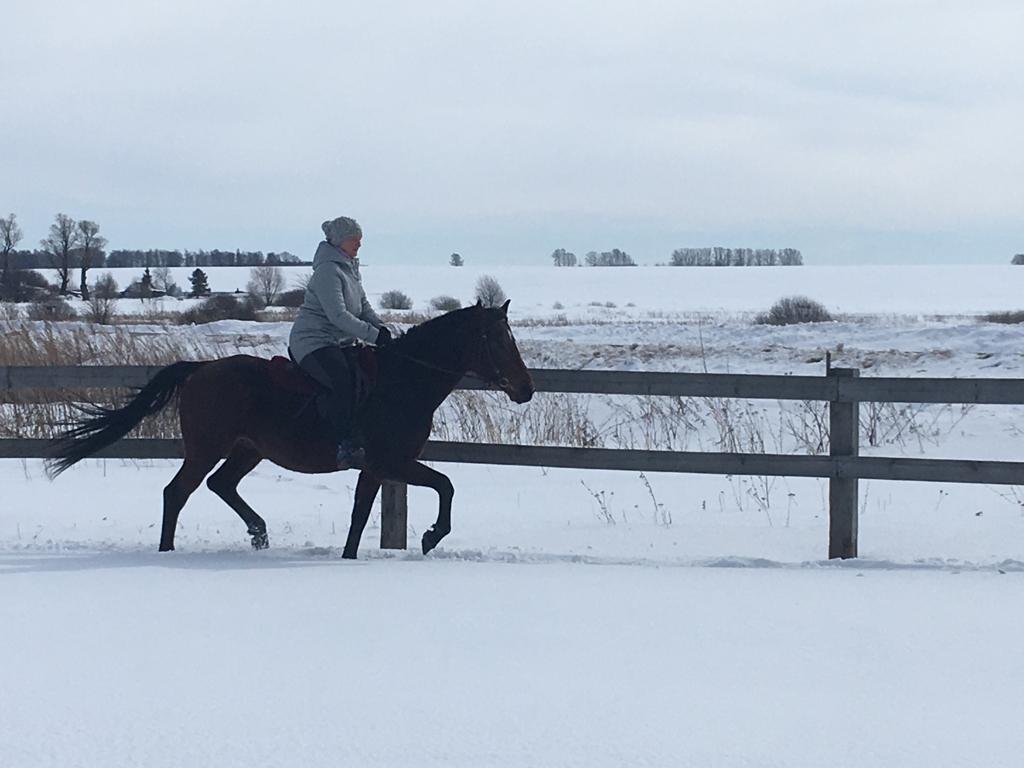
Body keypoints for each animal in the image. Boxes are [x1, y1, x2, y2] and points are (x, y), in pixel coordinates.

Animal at [47, 301, 534, 558]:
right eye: (497, 339)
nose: (526, 388)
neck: (404, 382)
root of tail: (201, 369)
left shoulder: (376, 468)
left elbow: (360, 515)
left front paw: (350, 557)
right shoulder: (391, 461)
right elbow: (446, 484)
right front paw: (432, 536)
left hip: (248, 449)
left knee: (221, 485)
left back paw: (259, 532)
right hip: (207, 447)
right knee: (177, 492)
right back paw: (168, 550)